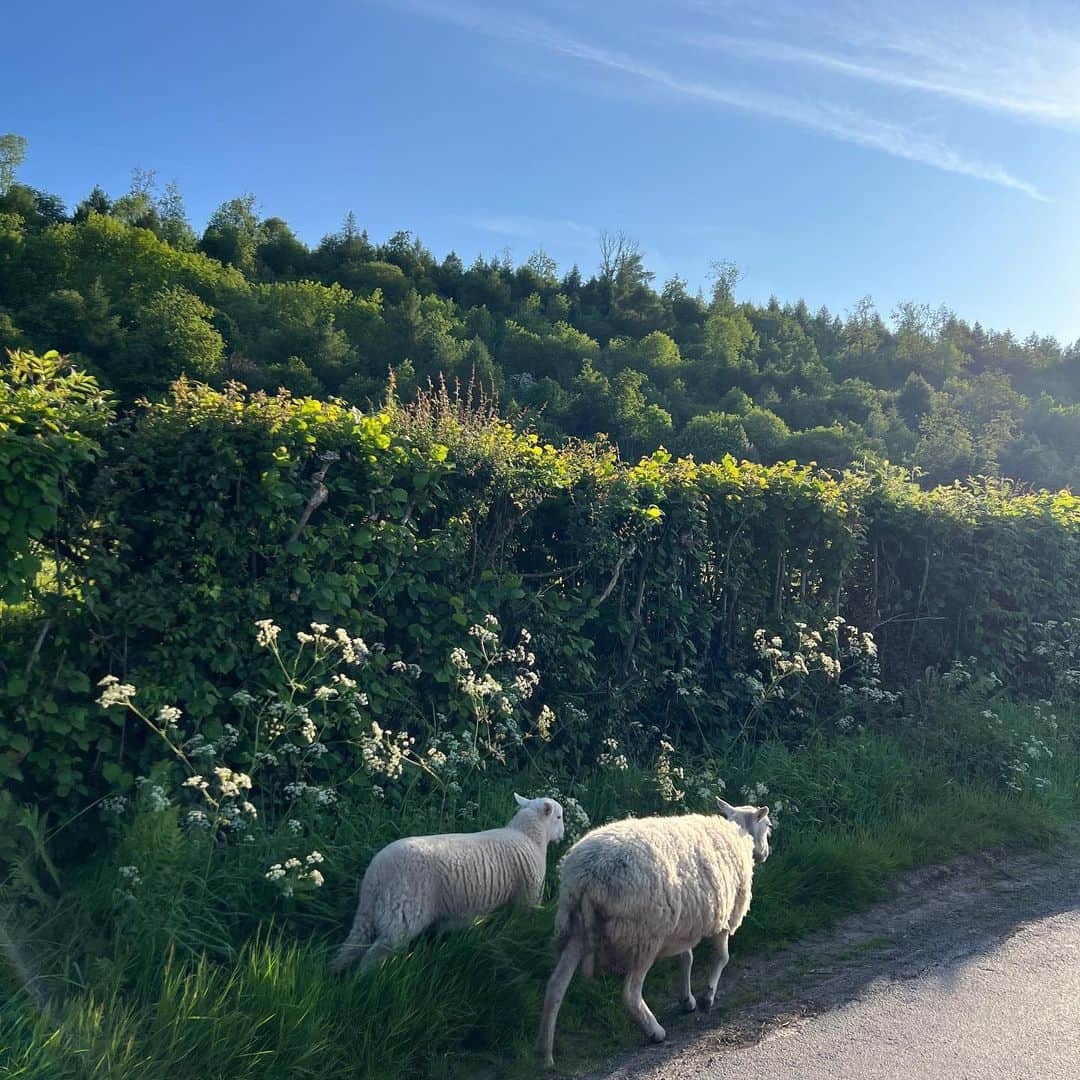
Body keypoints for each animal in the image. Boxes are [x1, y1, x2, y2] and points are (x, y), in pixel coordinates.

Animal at [328, 790, 565, 976]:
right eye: (559, 817)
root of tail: (378, 872)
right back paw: (366, 980)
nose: (562, 836)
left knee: (352, 945)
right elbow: (523, 924)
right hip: (402, 913)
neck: (528, 836)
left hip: (367, 913)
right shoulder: (529, 896)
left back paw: (338, 974)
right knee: (375, 954)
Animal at [535, 799, 773, 1067]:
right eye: (767, 826)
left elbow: (686, 959)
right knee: (630, 993)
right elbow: (721, 958)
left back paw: (545, 1055)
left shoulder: (684, 922)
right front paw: (706, 998)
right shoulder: (725, 914)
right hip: (643, 936)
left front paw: (687, 1000)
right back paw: (655, 1031)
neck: (738, 833)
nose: (765, 853)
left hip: (575, 927)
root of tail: (587, 876)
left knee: (555, 987)